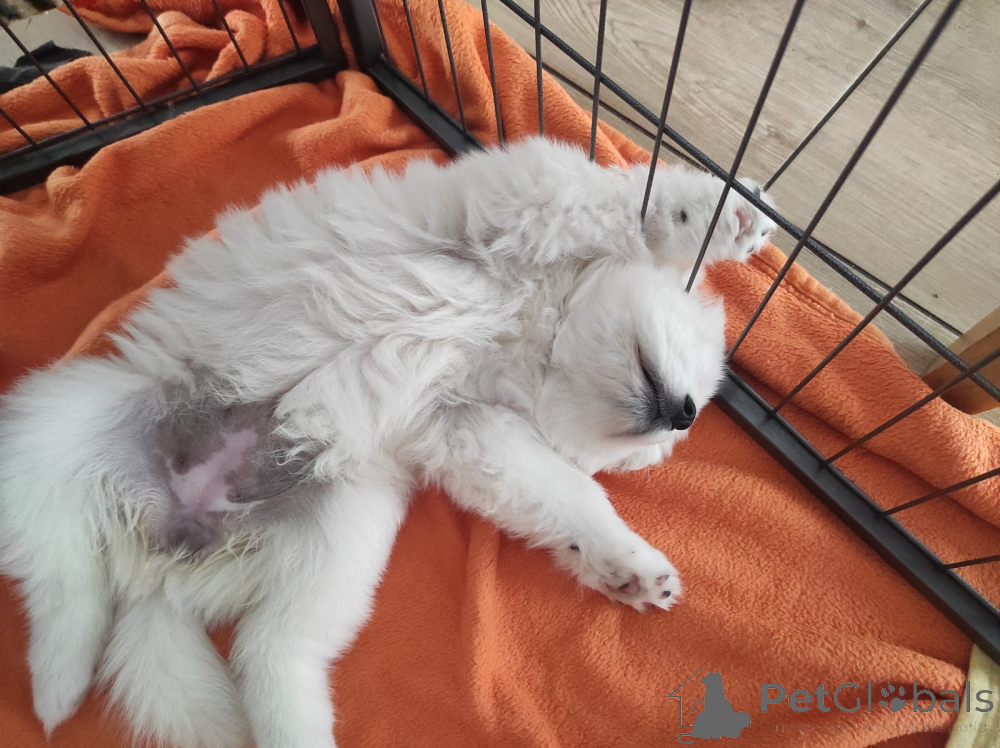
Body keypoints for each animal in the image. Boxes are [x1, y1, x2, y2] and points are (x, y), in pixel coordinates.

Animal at [0, 137, 775, 748]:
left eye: (684, 424)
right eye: (693, 363)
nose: (682, 416)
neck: (536, 326)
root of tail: (161, 564)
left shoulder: (468, 425)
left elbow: (568, 494)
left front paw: (626, 566)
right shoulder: (521, 203)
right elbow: (624, 209)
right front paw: (727, 216)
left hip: (340, 540)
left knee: (269, 650)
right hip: (53, 422)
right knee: (65, 584)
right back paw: (59, 684)